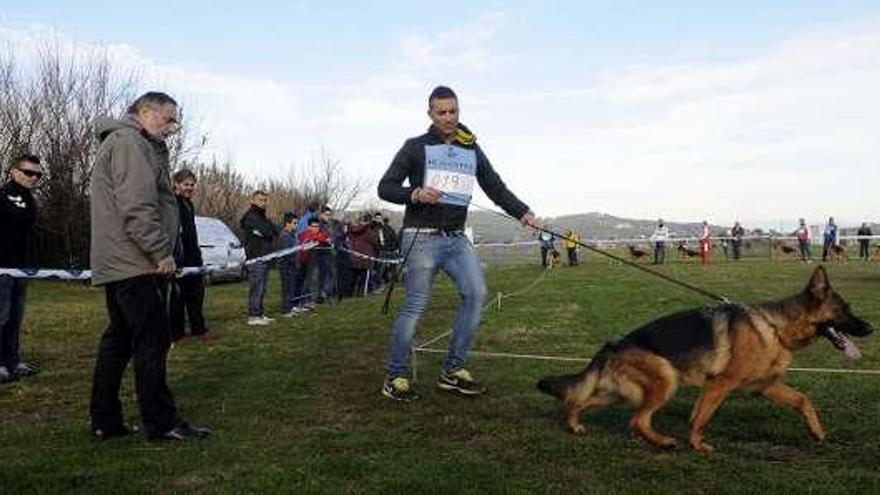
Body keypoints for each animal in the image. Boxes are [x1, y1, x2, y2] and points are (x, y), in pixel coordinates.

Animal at [536, 268, 872, 454]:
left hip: (621, 393)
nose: (871, 328)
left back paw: (575, 426)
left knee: (579, 401)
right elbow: (702, 418)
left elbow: (803, 401)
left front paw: (817, 433)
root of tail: (611, 345)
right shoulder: (721, 384)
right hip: (666, 380)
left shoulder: (763, 387)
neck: (776, 328)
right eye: (844, 310)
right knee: (638, 419)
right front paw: (697, 445)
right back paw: (664, 442)